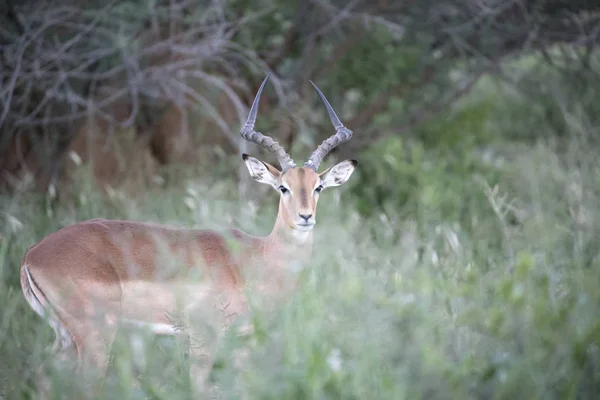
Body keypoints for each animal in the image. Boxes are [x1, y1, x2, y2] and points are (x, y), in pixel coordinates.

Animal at [18, 73, 358, 390]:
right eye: (283, 187)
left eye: (318, 187)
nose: (305, 217)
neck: (255, 260)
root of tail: (31, 255)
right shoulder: (203, 338)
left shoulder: (241, 343)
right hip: (95, 339)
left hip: (65, 338)